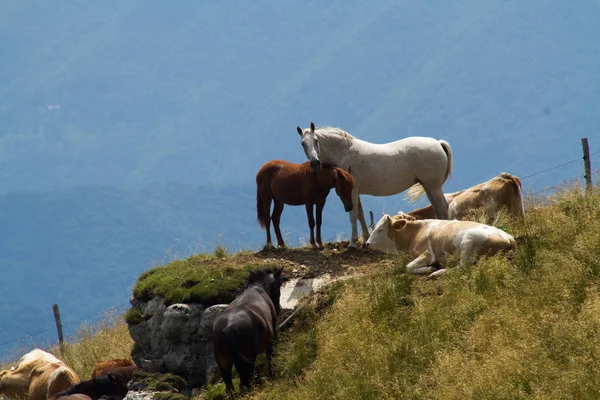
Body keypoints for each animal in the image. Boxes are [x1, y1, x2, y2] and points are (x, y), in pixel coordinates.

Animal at [212, 266, 284, 396]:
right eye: (279, 284)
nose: (279, 308)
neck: (258, 287)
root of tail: (229, 327)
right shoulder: (270, 341)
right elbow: (270, 358)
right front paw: (272, 376)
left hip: (224, 363)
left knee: (230, 387)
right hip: (248, 358)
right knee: (246, 381)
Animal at [296, 122, 454, 247]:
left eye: (316, 140)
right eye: (303, 143)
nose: (315, 163)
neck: (344, 152)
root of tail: (438, 143)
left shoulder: (352, 191)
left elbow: (353, 215)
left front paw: (352, 243)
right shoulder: (356, 192)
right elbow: (360, 214)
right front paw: (365, 239)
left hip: (433, 186)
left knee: (443, 207)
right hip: (427, 186)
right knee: (437, 209)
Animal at [364, 212, 516, 278]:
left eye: (380, 229)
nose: (367, 243)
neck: (415, 233)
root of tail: (508, 237)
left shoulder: (427, 254)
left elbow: (408, 267)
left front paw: (429, 269)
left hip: (469, 242)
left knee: (463, 267)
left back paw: (438, 272)